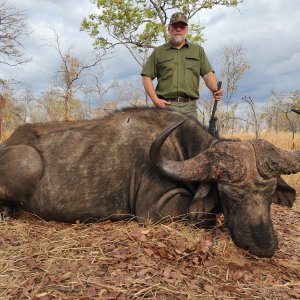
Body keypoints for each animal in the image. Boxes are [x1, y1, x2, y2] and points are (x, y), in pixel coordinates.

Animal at [0, 108, 298, 258]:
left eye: (270, 194)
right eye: (230, 194)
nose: (264, 247)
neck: (181, 149)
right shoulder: (157, 210)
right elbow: (204, 218)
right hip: (29, 161)